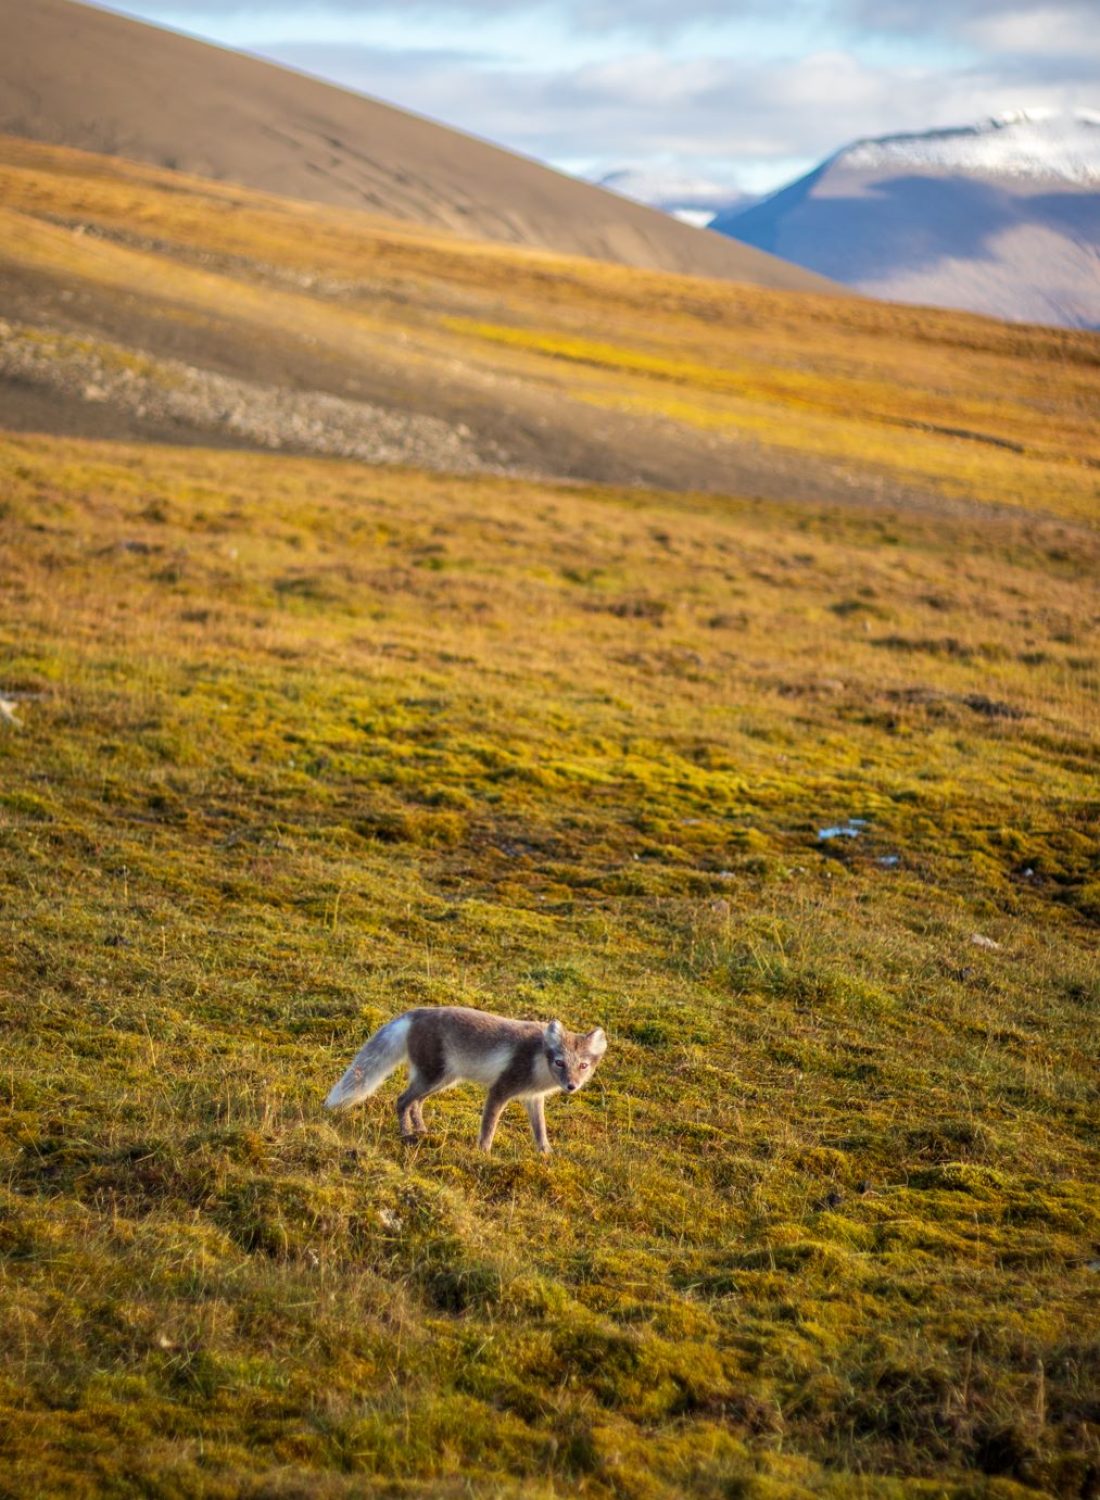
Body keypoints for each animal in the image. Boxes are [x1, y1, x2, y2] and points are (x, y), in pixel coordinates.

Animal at [319, 1008, 609, 1158]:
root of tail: (416, 1013)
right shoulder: (500, 1090)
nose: (571, 1086)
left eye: (583, 1066)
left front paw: (546, 1153)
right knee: (402, 1101)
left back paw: (423, 1132)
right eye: (559, 1062)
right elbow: (489, 1127)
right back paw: (407, 1135)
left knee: (415, 1103)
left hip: (443, 1080)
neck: (538, 1060)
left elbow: (540, 1129)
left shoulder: (532, 1098)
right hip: (433, 1077)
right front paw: (484, 1153)